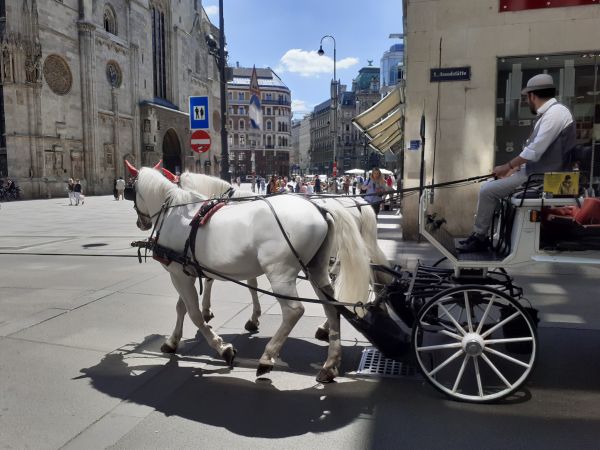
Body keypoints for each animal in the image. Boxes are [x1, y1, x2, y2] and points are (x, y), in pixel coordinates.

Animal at [127, 167, 370, 382]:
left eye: (132, 191)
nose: (140, 222)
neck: (175, 212)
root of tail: (320, 208)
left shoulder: (178, 273)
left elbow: (194, 314)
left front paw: (223, 347)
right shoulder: (185, 271)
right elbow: (182, 307)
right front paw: (173, 341)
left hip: (280, 273)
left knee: (294, 311)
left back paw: (267, 357)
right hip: (316, 268)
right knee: (332, 306)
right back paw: (330, 364)